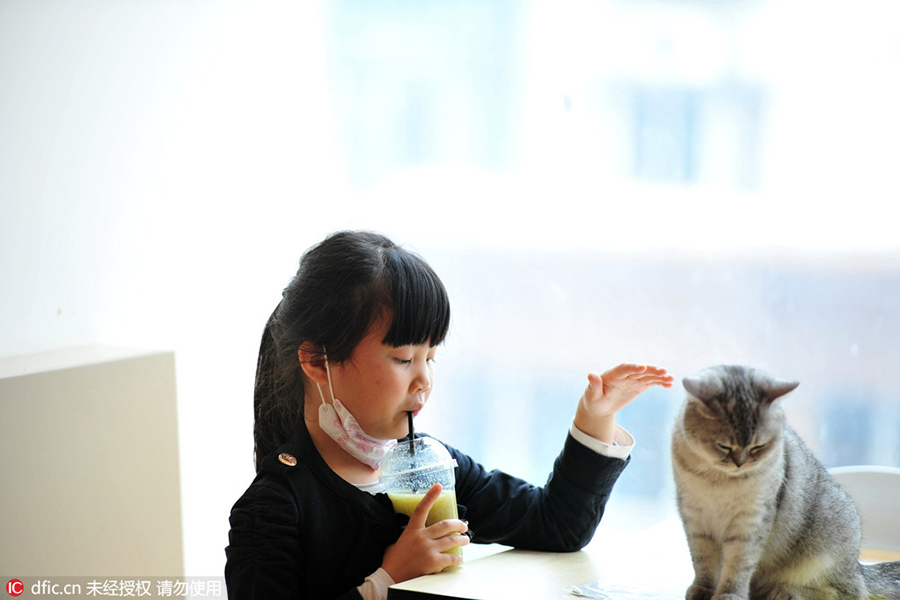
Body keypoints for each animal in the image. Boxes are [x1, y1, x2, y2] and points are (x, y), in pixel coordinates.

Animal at [672, 366, 896, 600]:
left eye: (758, 446)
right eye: (723, 446)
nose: (740, 462)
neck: (719, 480)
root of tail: (857, 566)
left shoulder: (751, 523)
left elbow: (737, 566)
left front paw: (729, 594)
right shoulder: (695, 519)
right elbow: (703, 562)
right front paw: (702, 589)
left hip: (825, 548)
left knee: (848, 591)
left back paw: (786, 591)